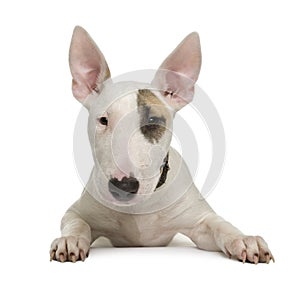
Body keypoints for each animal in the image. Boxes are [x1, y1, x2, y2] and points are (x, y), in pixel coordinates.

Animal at [49, 25, 274, 262]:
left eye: (152, 121)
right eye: (103, 120)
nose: (123, 187)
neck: (140, 209)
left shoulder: (200, 221)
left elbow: (219, 225)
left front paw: (244, 240)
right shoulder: (77, 211)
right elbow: (77, 222)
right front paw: (70, 240)